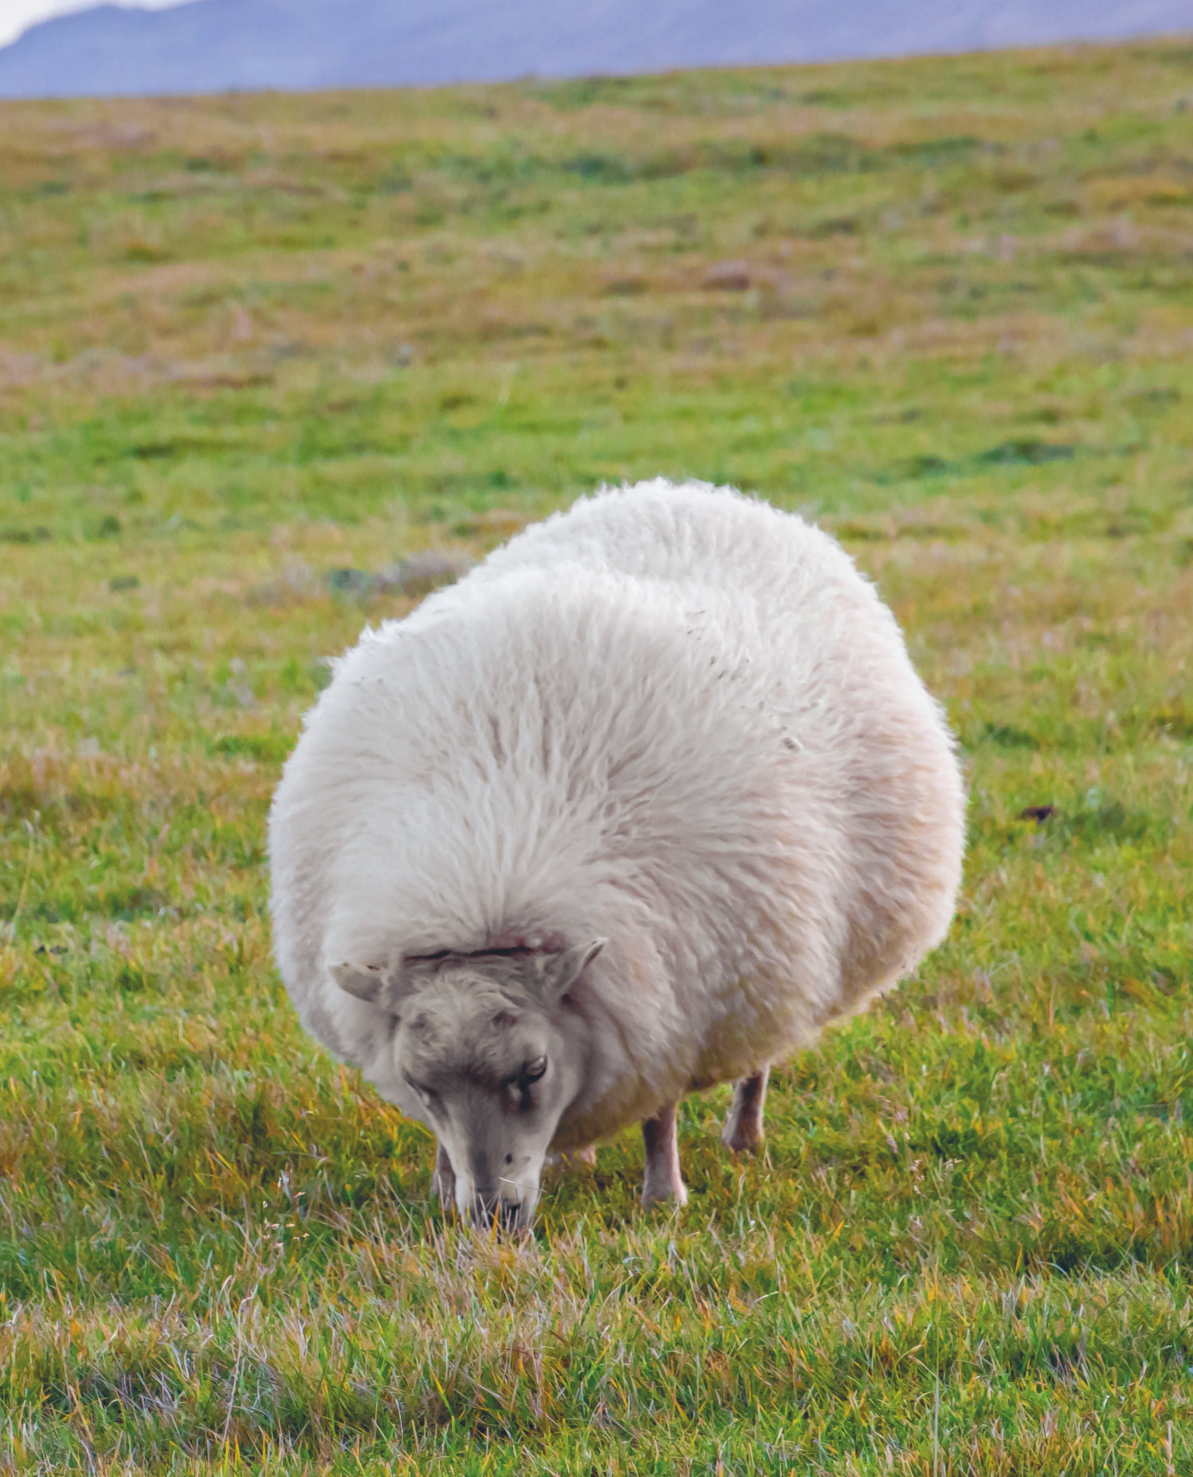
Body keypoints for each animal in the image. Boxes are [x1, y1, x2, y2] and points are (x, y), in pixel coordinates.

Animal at [265, 478, 962, 1228]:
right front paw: (443, 1184)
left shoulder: (669, 991)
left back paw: (743, 1136)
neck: (488, 852)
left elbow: (660, 1112)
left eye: (534, 1070)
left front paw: (664, 1196)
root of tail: (688, 493)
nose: (492, 1216)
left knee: (761, 1055)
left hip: (772, 948)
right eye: (420, 1082)